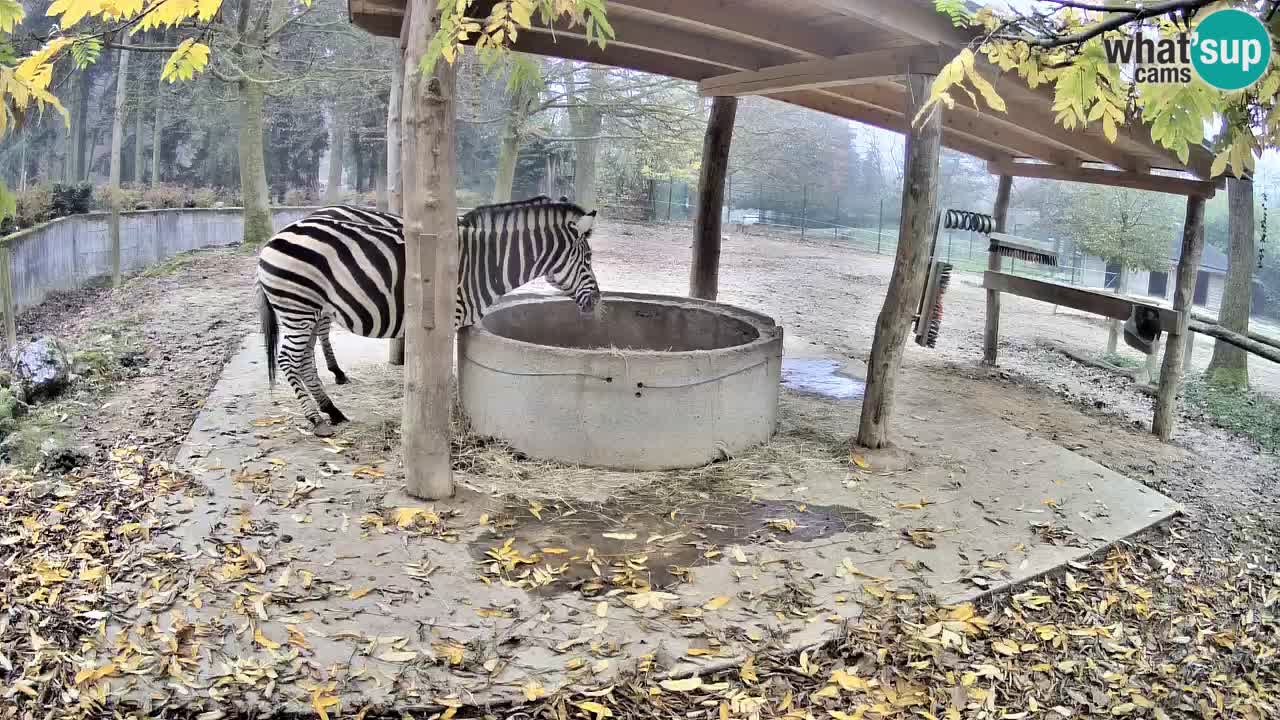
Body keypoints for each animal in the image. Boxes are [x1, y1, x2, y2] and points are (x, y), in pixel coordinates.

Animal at [256, 197, 601, 436]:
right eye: (588, 258)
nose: (597, 302)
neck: (485, 264)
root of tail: (276, 236)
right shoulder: (448, 318)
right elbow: (442, 372)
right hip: (298, 306)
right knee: (289, 359)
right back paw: (316, 418)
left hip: (309, 308)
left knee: (304, 359)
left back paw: (332, 409)